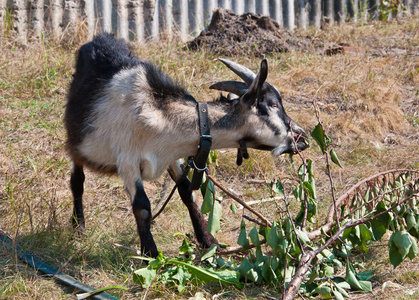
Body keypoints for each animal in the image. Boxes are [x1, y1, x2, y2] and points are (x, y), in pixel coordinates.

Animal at [65, 33, 308, 258]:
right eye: (273, 105)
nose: (302, 136)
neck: (158, 115)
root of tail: (98, 39)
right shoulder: (128, 161)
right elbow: (142, 207)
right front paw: (151, 254)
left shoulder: (173, 156)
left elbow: (188, 194)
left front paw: (208, 240)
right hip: (75, 142)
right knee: (77, 180)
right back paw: (78, 227)